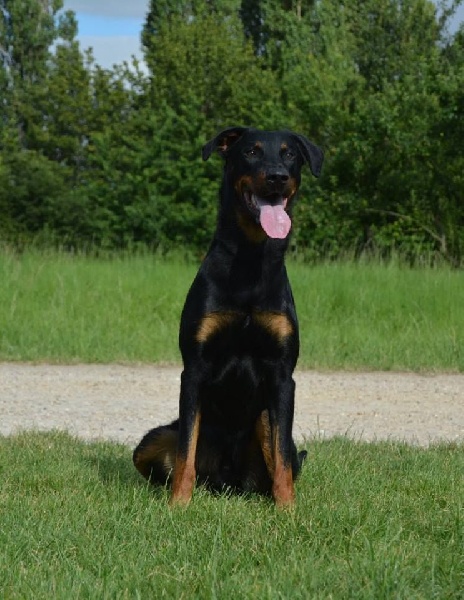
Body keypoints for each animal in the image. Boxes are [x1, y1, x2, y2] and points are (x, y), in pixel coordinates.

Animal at [133, 127, 323, 507]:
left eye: (290, 154)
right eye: (250, 151)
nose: (277, 176)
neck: (249, 259)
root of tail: (226, 481)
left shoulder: (282, 375)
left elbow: (282, 459)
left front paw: (288, 511)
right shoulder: (194, 369)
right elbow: (185, 454)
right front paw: (178, 505)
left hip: (267, 426)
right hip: (152, 440)